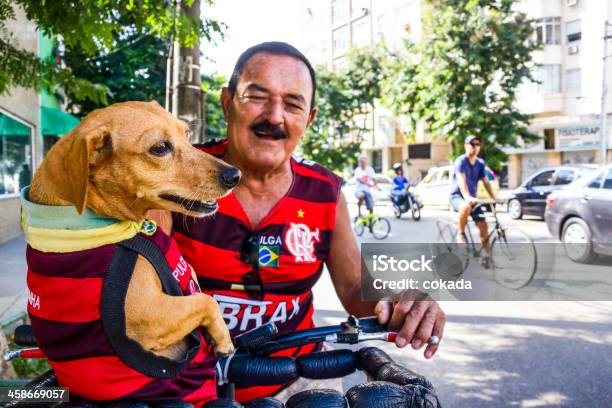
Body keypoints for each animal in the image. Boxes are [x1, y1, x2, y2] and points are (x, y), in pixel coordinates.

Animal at [22, 100, 237, 404]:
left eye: (186, 134)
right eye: (159, 148)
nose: (236, 176)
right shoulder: (151, 314)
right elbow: (207, 301)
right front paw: (224, 339)